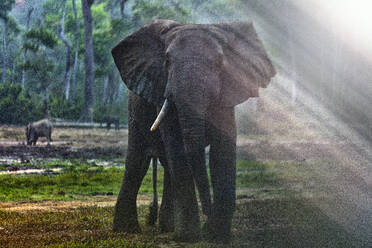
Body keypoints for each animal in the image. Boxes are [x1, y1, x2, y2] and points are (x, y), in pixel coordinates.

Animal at [112, 18, 274, 242]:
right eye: (167, 60)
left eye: (220, 62)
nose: (207, 210)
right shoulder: (162, 89)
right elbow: (177, 146)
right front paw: (189, 237)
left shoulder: (226, 95)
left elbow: (222, 152)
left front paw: (215, 236)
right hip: (134, 109)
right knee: (137, 161)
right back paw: (128, 230)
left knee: (165, 166)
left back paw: (166, 227)